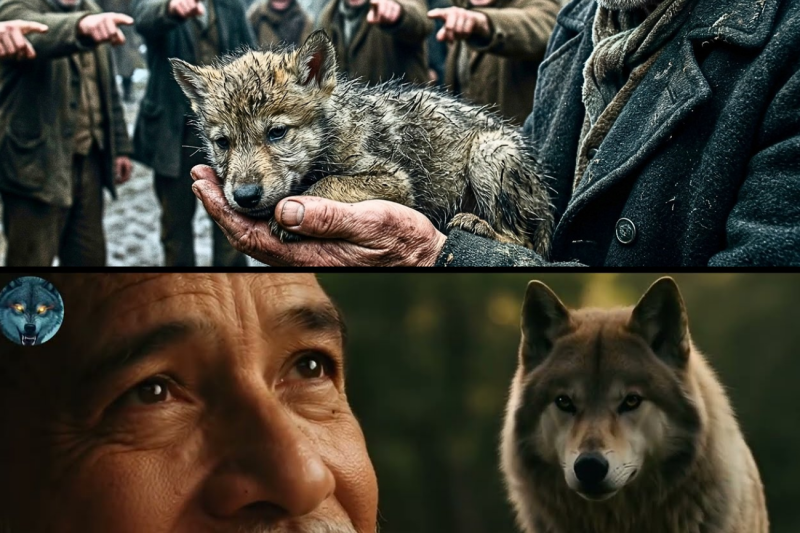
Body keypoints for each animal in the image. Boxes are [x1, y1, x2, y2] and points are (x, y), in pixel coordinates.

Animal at [170, 31, 554, 256]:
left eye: (277, 132)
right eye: (223, 142)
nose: (245, 196)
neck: (330, 136)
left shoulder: (395, 180)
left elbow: (329, 182)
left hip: (489, 153)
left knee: (523, 241)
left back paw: (478, 225)